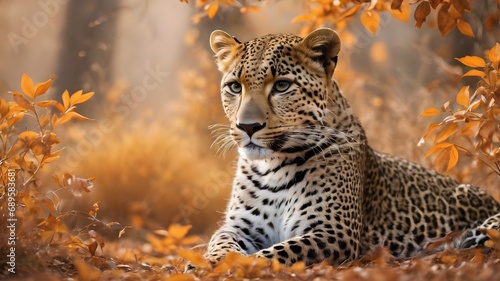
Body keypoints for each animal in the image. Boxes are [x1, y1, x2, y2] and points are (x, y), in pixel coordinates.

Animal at [202, 27, 500, 266]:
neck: (273, 166)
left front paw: (234, 266)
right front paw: (208, 262)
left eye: (282, 86)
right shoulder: (239, 227)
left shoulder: (332, 231)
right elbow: (220, 242)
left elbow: (273, 254)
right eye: (234, 87)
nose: (247, 126)